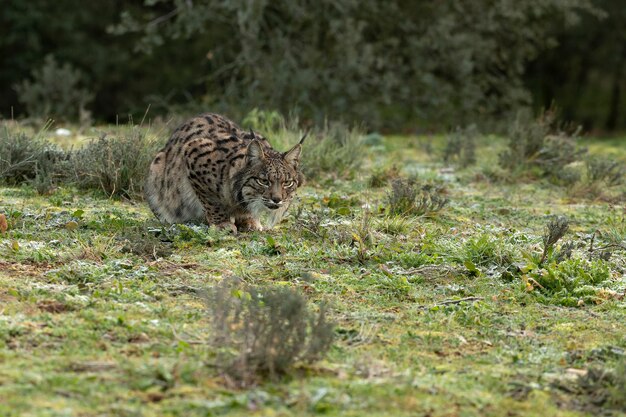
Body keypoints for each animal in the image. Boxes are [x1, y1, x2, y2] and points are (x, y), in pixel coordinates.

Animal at [144, 112, 304, 232]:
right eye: (263, 181)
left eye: (287, 183)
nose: (277, 199)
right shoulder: (193, 151)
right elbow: (211, 201)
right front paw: (222, 223)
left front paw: (249, 220)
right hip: (156, 168)